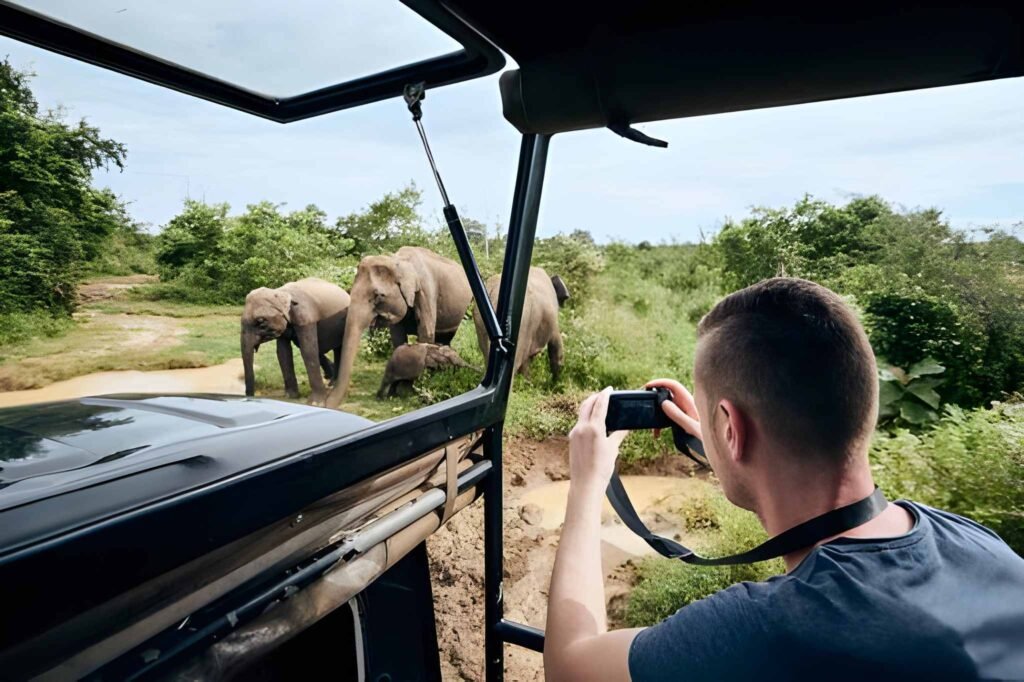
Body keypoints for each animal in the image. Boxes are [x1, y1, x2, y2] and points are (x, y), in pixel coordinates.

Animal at [241, 278, 350, 406]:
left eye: (261, 322)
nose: (249, 398)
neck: (280, 291)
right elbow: (283, 352)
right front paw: (291, 396)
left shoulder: (306, 318)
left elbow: (308, 350)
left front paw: (315, 403)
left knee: (338, 348)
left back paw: (332, 384)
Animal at [326, 246, 472, 408]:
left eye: (379, 295)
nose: (327, 402)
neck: (397, 261)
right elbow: (397, 336)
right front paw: (397, 393)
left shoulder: (426, 291)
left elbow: (425, 331)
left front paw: (409, 391)